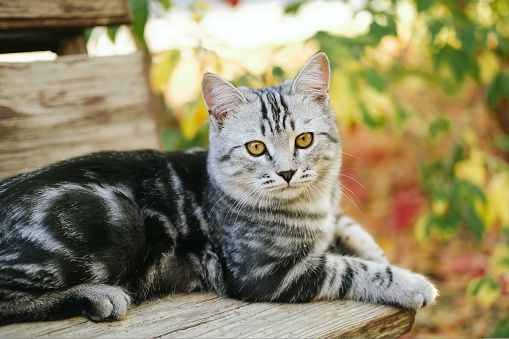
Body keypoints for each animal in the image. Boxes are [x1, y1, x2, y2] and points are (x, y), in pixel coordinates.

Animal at [0, 51, 436, 326]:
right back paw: (97, 296)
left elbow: (348, 227)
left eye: (304, 140)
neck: (309, 206)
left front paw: (375, 250)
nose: (287, 172)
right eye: (256, 148)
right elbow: (349, 268)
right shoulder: (266, 273)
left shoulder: (329, 219)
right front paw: (408, 281)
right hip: (120, 221)